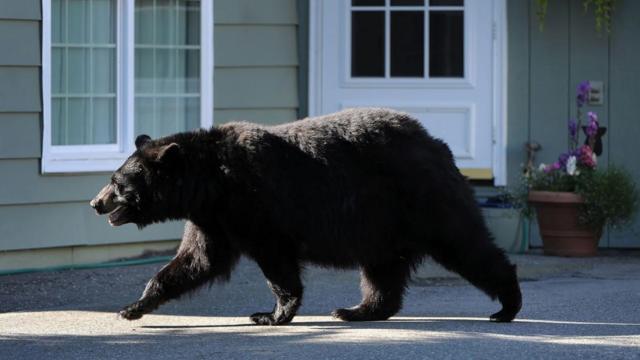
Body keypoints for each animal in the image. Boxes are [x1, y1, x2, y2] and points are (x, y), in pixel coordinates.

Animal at [90, 107, 520, 324]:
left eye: (117, 181)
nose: (96, 203)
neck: (211, 182)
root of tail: (440, 146)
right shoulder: (212, 218)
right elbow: (195, 261)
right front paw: (132, 307)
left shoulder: (253, 205)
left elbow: (276, 261)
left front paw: (271, 313)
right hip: (382, 223)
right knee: (382, 269)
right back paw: (357, 310)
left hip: (424, 199)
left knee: (466, 245)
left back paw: (507, 305)